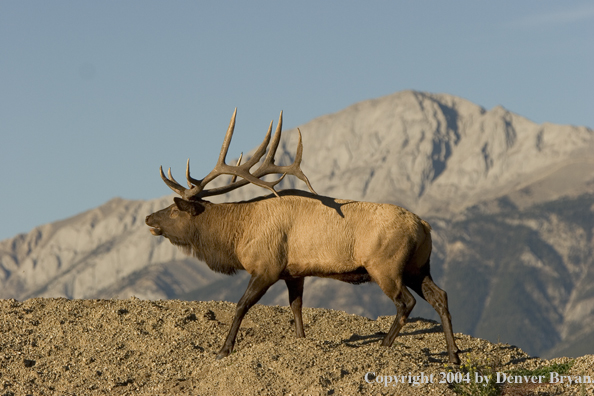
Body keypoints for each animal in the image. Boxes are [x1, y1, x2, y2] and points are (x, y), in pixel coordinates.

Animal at [146, 110, 460, 364]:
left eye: (174, 211)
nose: (149, 218)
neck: (238, 235)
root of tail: (425, 226)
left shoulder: (266, 266)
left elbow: (241, 305)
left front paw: (224, 349)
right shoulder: (294, 272)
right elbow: (296, 307)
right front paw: (300, 340)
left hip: (386, 266)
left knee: (406, 302)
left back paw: (384, 344)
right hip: (417, 266)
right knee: (440, 296)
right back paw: (454, 355)